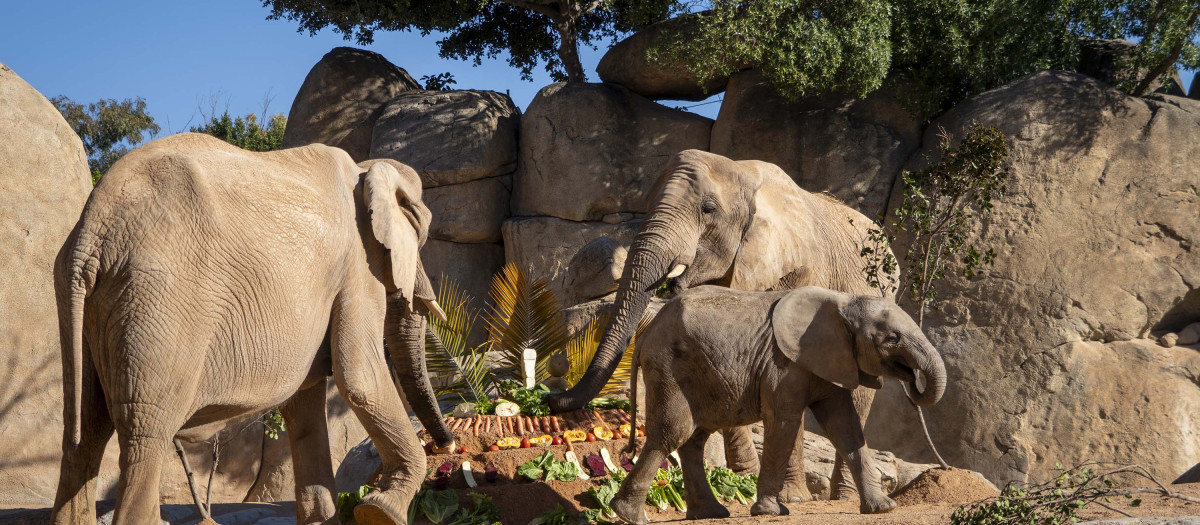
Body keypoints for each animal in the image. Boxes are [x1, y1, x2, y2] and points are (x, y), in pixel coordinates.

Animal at [52, 133, 452, 525]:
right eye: (421, 236)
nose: (445, 445)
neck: (365, 168)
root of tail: (92, 232)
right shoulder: (356, 263)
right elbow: (361, 377)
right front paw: (380, 511)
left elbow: (304, 404)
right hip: (156, 294)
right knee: (146, 431)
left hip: (83, 301)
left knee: (84, 432)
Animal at [547, 149, 899, 500]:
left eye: (708, 209)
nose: (550, 400)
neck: (742, 172)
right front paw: (744, 480)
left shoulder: (801, 269)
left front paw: (788, 497)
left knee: (855, 397)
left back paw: (845, 497)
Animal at [613, 286, 946, 523]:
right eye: (892, 338)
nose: (911, 379)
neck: (843, 301)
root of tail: (644, 335)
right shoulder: (784, 365)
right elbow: (784, 421)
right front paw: (771, 512)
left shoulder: (829, 359)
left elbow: (845, 425)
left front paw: (884, 508)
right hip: (670, 366)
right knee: (673, 433)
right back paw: (629, 515)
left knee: (694, 438)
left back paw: (709, 514)